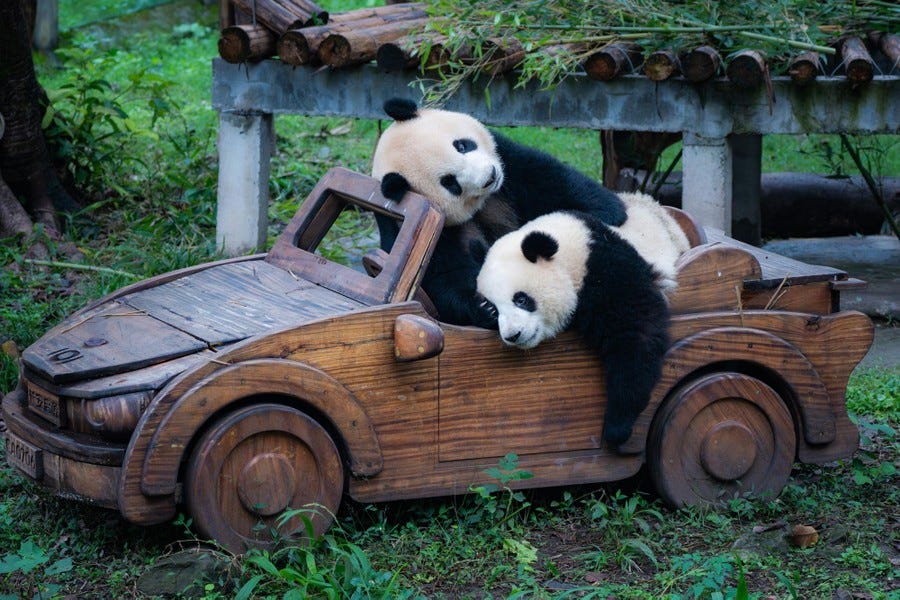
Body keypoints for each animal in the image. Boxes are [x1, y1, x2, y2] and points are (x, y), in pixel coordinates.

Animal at [372, 97, 624, 328]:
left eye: (462, 146)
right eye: (450, 183)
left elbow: (570, 190)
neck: (483, 200)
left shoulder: (509, 163)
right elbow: (445, 277)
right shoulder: (423, 226)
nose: (490, 176)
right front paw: (486, 308)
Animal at [478, 209, 676, 448]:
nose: (512, 335)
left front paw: (617, 425)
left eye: (521, 299)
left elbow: (637, 332)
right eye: (495, 309)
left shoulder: (606, 269)